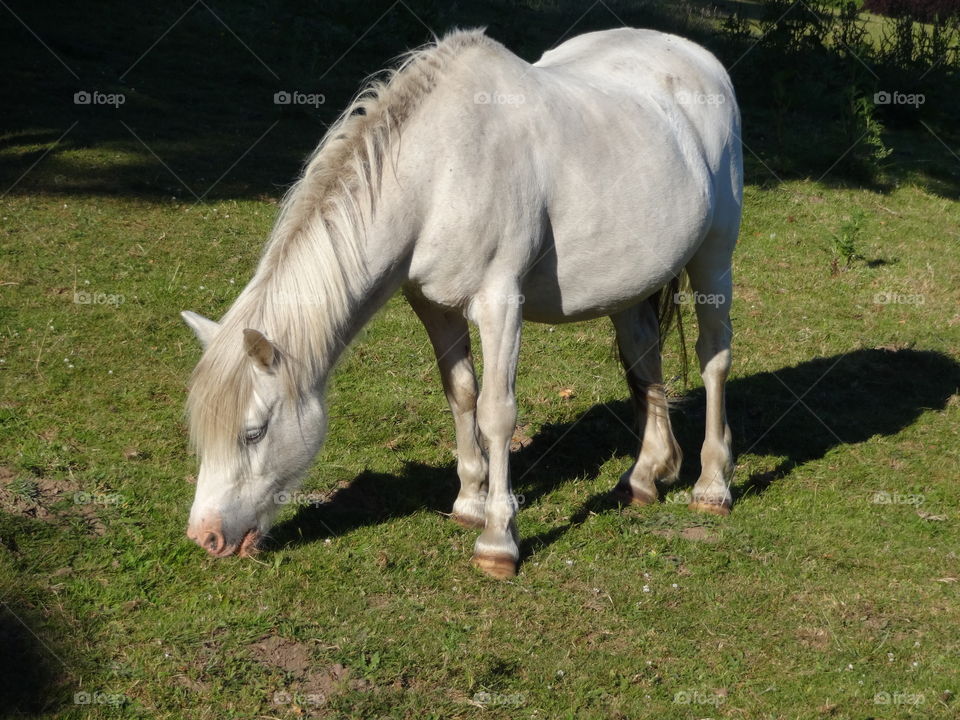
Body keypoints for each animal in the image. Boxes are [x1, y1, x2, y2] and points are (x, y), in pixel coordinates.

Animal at [184, 28, 748, 580]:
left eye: (253, 432)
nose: (205, 537)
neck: (438, 172)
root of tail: (698, 58)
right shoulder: (435, 307)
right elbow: (462, 394)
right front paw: (469, 504)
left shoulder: (500, 304)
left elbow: (497, 412)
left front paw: (498, 542)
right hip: (630, 284)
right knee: (643, 356)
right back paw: (645, 476)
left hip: (714, 258)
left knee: (713, 357)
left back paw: (711, 486)